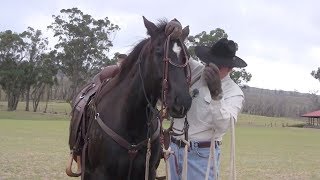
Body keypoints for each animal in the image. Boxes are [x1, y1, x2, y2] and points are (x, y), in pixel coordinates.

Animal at [82, 16, 192, 179]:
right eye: (159, 52)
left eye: (187, 56)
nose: (183, 102)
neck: (131, 120)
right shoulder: (100, 173)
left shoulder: (149, 170)